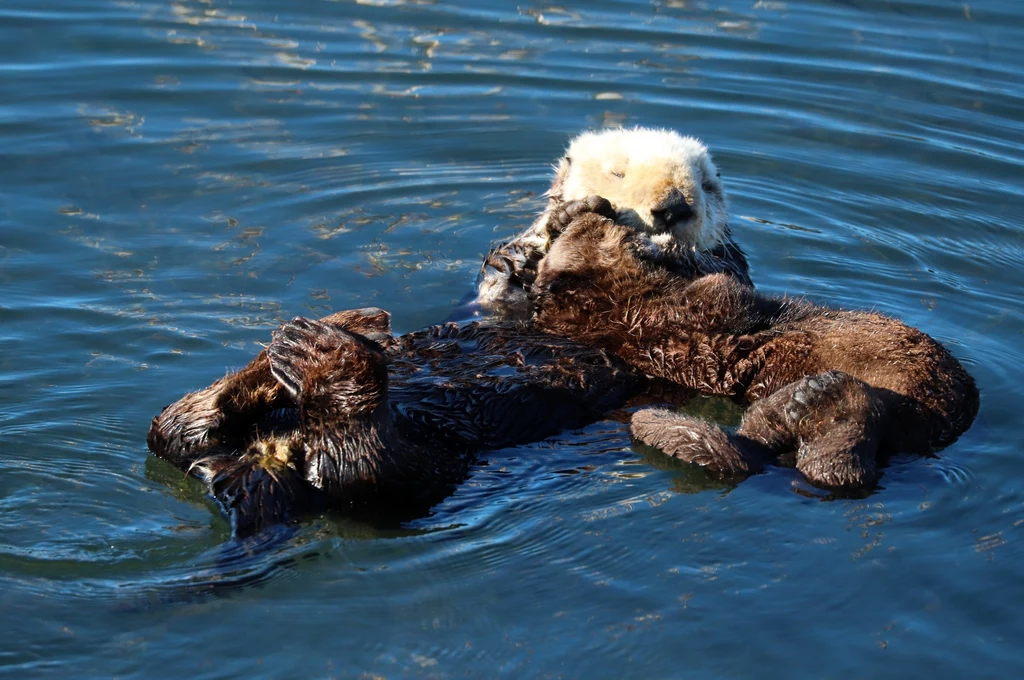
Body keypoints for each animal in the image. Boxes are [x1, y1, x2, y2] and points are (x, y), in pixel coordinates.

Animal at [473, 128, 753, 315]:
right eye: (618, 174)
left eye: (707, 186)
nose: (675, 206)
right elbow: (504, 276)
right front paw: (566, 214)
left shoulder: (732, 265)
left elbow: (715, 267)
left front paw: (654, 247)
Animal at [532, 209, 978, 491]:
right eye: (593, 234)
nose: (602, 214)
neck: (617, 303)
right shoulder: (671, 318)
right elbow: (724, 292)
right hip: (885, 422)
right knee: (834, 469)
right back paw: (826, 400)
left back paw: (799, 401)